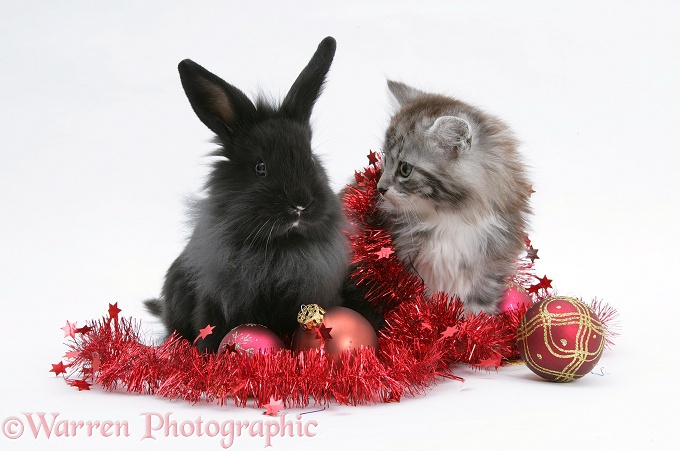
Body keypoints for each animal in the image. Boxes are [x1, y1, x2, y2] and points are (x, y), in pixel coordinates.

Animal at [378, 80, 532, 314]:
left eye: (405, 169)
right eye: (385, 159)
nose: (380, 188)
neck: (450, 217)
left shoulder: (489, 272)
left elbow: (478, 313)